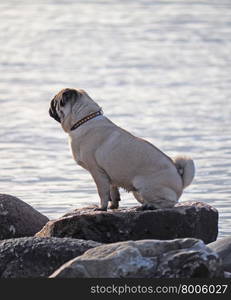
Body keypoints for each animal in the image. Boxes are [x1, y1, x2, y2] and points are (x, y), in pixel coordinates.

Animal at [49, 88, 195, 211]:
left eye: (54, 102)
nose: (49, 105)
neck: (84, 120)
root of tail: (180, 178)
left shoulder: (97, 172)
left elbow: (102, 193)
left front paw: (101, 208)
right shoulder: (108, 173)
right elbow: (113, 191)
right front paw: (113, 206)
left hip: (143, 185)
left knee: (169, 203)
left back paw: (150, 206)